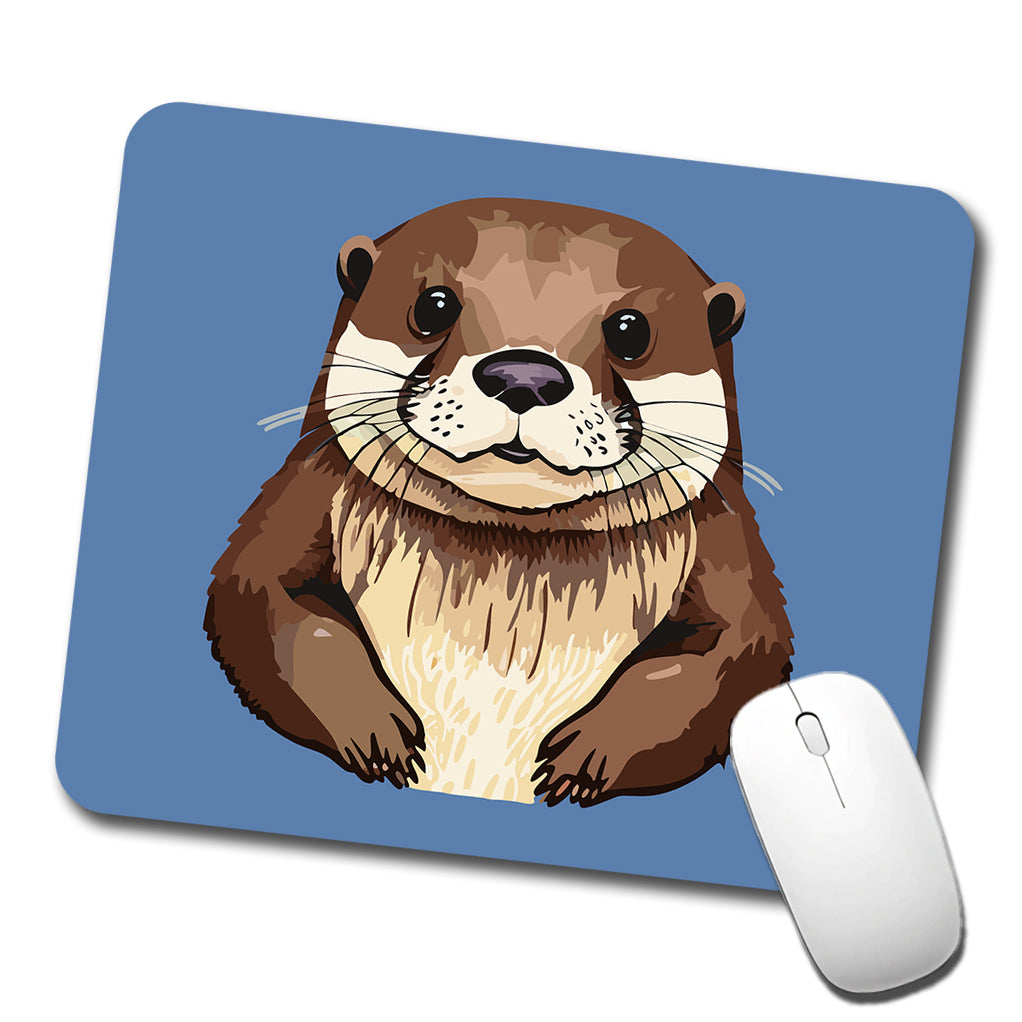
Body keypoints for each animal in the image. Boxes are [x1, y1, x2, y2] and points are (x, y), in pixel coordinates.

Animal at [204, 198, 793, 806]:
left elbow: (739, 652)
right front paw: (376, 729)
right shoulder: (308, 492)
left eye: (631, 330)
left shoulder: (723, 542)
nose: (523, 375)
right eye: (433, 305)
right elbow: (261, 593)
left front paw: (586, 753)